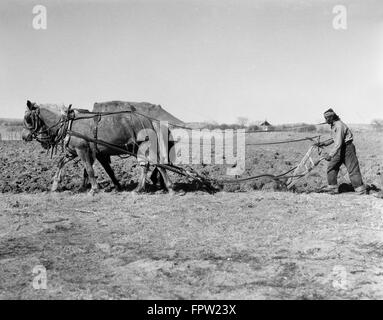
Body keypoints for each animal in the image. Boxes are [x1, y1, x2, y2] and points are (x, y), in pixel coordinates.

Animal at [21, 100, 175, 195]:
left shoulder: (82, 150)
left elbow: (89, 169)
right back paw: (139, 189)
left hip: (145, 146)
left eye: (28, 119)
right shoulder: (74, 151)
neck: (68, 124)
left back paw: (169, 187)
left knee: (157, 165)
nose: (24, 136)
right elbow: (61, 163)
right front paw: (55, 185)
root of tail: (148, 120)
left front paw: (94, 189)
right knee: (147, 166)